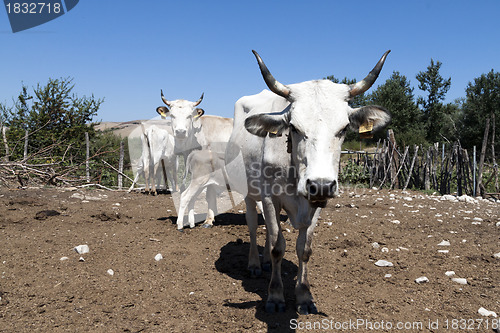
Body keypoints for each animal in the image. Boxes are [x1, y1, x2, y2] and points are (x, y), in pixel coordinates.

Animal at [225, 50, 392, 314]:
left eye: (344, 128)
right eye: (293, 127)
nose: (321, 184)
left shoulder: (316, 203)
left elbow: (303, 248)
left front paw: (304, 296)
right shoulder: (270, 197)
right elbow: (278, 246)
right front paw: (275, 296)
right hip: (249, 192)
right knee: (252, 225)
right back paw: (254, 264)